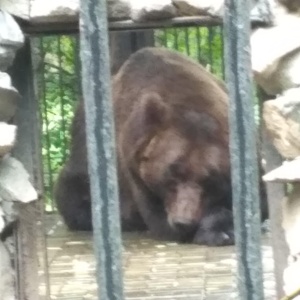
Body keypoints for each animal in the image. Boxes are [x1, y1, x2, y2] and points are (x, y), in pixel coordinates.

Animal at [54, 47, 268, 246]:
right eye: (171, 177)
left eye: (209, 181)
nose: (183, 221)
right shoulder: (134, 164)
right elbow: (158, 217)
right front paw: (217, 231)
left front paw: (222, 228)